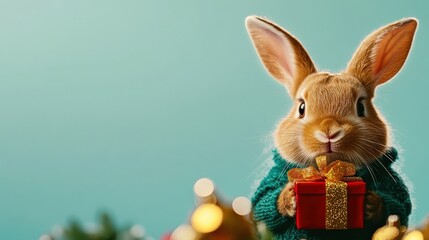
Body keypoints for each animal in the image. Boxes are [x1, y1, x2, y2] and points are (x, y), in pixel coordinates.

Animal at [246, 15, 416, 240]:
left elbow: (399, 207)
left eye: (360, 107)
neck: (328, 168)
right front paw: (289, 196)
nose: (329, 131)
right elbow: (261, 205)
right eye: (301, 108)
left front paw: (371, 203)